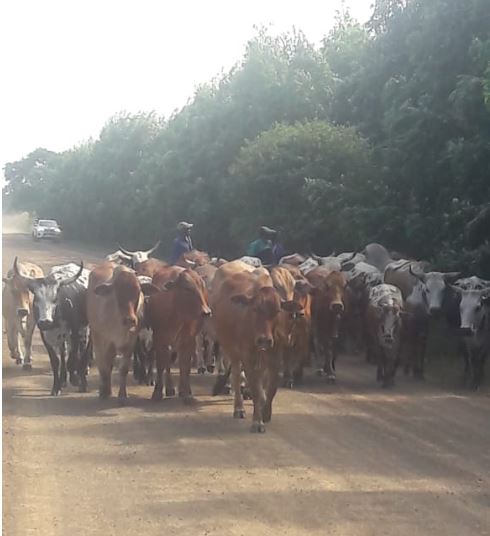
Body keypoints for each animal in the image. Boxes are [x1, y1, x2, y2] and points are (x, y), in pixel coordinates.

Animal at [13, 258, 89, 396]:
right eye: (36, 299)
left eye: (55, 299)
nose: (45, 322)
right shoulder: (45, 336)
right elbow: (55, 361)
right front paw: (56, 387)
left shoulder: (75, 332)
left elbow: (73, 359)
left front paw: (76, 380)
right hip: (62, 337)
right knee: (64, 354)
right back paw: (64, 379)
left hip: (84, 330)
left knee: (83, 352)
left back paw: (81, 378)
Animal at [87, 262, 157, 404]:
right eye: (118, 293)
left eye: (138, 292)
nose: (130, 320)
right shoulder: (105, 341)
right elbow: (104, 366)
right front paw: (104, 392)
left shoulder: (130, 342)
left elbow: (123, 369)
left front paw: (122, 395)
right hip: (96, 336)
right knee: (104, 363)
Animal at [145, 268, 211, 402]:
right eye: (187, 288)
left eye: (202, 287)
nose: (206, 312)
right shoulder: (159, 338)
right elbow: (161, 364)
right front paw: (157, 392)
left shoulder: (189, 339)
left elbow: (185, 366)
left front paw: (187, 394)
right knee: (165, 361)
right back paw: (169, 388)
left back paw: (183, 389)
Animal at [212, 266, 300, 434]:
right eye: (254, 309)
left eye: (277, 311)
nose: (264, 340)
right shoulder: (248, 356)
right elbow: (255, 388)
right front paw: (257, 421)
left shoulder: (275, 356)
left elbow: (272, 385)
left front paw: (266, 412)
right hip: (231, 350)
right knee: (236, 375)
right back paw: (238, 407)